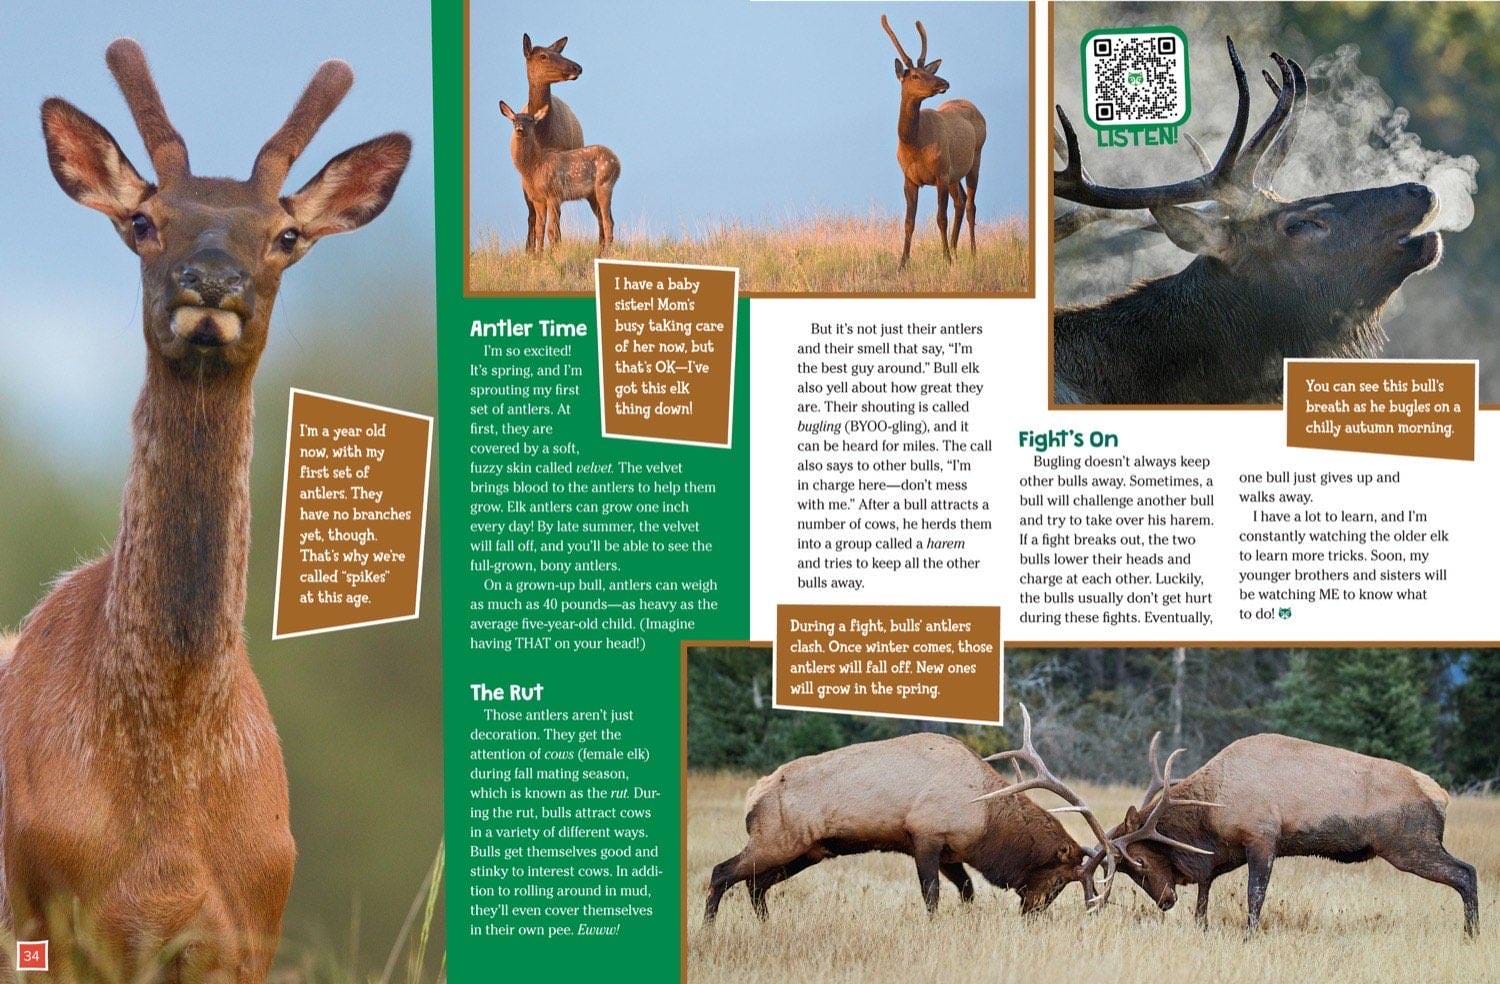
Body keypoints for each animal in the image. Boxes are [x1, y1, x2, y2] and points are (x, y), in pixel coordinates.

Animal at [500, 100, 619, 253]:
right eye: (514, 119)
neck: (533, 168)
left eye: (530, 120)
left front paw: (552, 254)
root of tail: (618, 162)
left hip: (604, 184)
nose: (519, 128)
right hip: (592, 195)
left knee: (607, 221)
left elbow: (552, 231)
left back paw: (606, 251)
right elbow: (539, 229)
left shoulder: (554, 194)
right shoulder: (538, 199)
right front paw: (539, 254)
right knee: (605, 220)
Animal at [519, 33, 584, 252]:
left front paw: (554, 246)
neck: (543, 136)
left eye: (559, 52)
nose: (577, 67)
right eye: (543, 56)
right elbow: (532, 214)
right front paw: (529, 250)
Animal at [704, 707, 1116, 925]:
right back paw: (709, 929)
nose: (1033, 914)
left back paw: (765, 926)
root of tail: (754, 795)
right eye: (1061, 877)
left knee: (756, 885)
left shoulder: (951, 852)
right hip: (776, 839)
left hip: (807, 850)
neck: (983, 818)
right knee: (723, 872)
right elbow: (931, 896)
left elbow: (967, 891)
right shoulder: (925, 836)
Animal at [881, 15, 987, 267]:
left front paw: (945, 258)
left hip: (974, 160)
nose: (943, 83)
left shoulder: (940, 174)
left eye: (927, 71)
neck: (914, 144)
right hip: (954, 173)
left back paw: (971, 252)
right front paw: (903, 263)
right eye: (915, 75)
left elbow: (940, 218)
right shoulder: (909, 179)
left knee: (970, 205)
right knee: (961, 201)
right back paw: (956, 249)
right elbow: (909, 222)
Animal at [1079, 732, 1479, 938]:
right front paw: (1201, 928)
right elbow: (1205, 897)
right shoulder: (1221, 857)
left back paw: (1471, 935)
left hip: (1409, 844)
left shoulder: (1261, 839)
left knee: (1466, 872)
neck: (1212, 812)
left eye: (1139, 860)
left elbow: (1255, 898)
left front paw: (1249, 938)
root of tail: (1441, 795)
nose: (1165, 900)